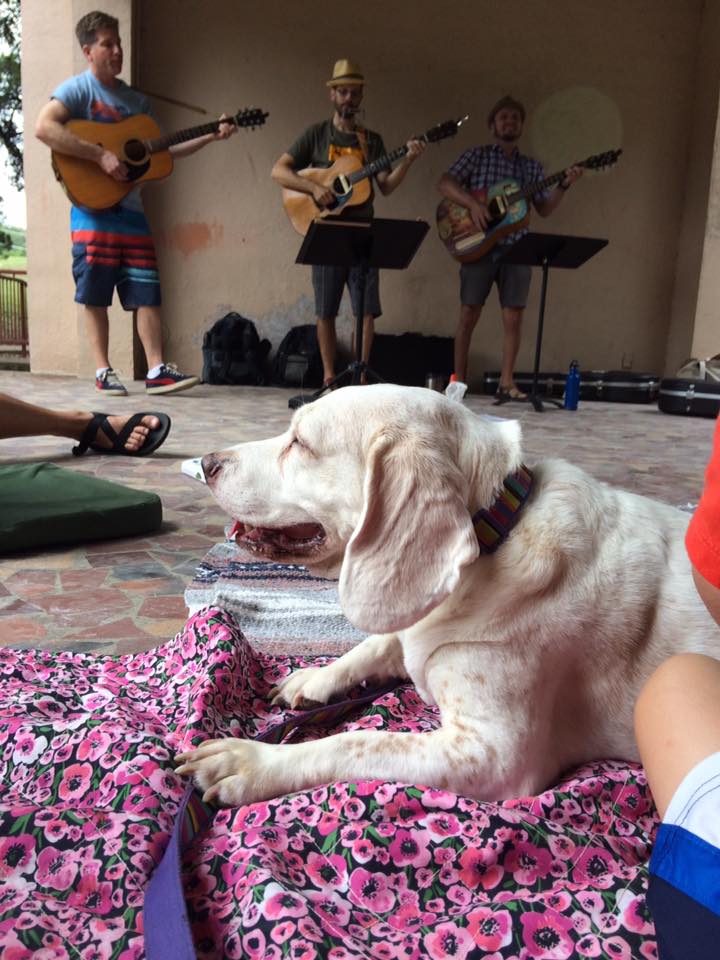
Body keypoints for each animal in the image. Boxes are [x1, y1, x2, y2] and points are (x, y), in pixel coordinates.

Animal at [176, 386, 720, 808]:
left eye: (300, 444)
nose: (207, 463)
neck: (498, 531)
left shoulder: (492, 754)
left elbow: (359, 740)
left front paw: (255, 761)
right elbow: (376, 643)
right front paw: (316, 678)